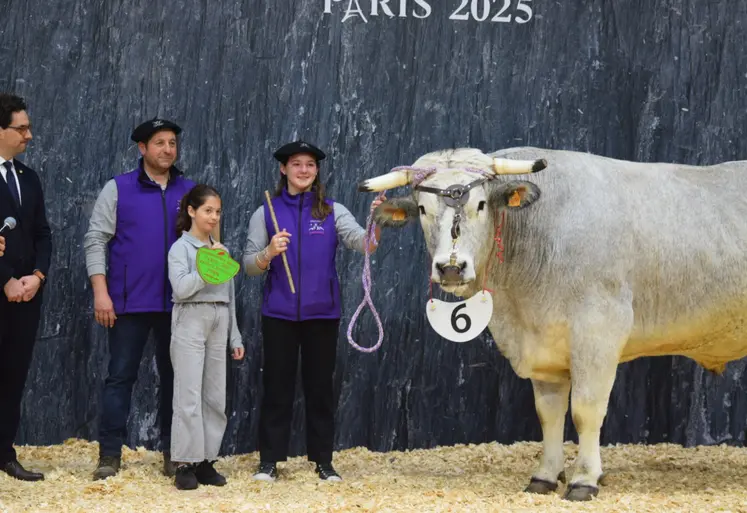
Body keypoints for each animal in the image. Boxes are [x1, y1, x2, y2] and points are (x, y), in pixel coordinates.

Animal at [358, 147, 747, 500]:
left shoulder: (599, 332)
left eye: (480, 205)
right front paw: (545, 475)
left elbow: (586, 410)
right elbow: (549, 414)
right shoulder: (544, 348)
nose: (451, 267)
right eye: (423, 209)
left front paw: (584, 479)